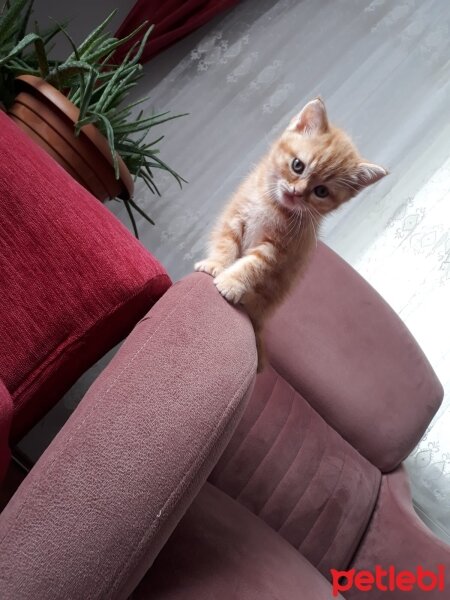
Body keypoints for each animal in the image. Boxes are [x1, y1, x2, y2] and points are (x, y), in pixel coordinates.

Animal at [195, 98, 388, 370]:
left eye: (321, 191)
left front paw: (230, 283)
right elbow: (226, 243)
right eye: (298, 166)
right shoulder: (236, 216)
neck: (273, 205)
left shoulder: (278, 249)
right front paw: (215, 264)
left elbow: (252, 266)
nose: (296, 193)